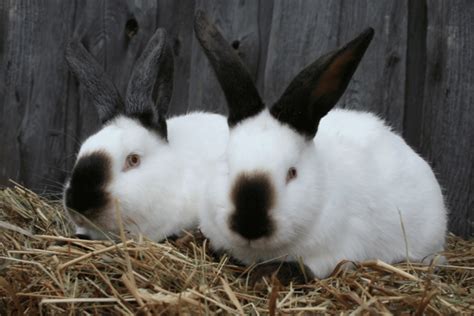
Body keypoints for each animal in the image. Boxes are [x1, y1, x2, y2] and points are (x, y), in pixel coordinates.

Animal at [194, 11, 446, 280]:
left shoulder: (334, 254)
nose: (250, 224)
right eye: (227, 166)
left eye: (292, 173)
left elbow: (303, 268)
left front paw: (263, 275)